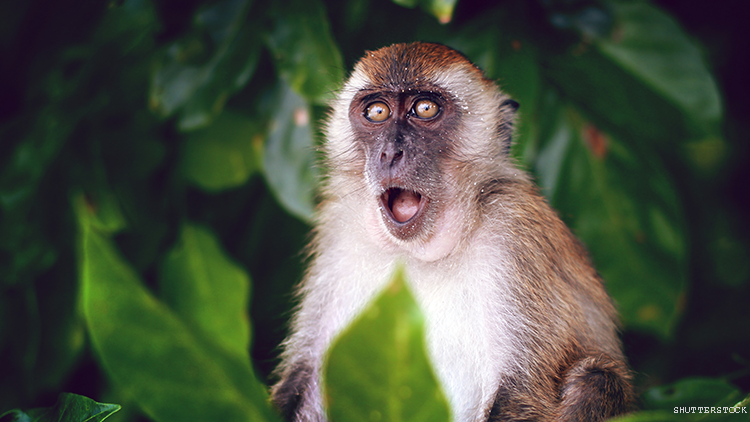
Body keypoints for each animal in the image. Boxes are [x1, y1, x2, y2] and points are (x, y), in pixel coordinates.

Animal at [271, 42, 634, 422]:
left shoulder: (514, 230)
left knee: (595, 379)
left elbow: (522, 391)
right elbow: (303, 380)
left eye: (425, 108)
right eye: (377, 111)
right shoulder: (339, 230)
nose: (390, 152)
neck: (418, 254)